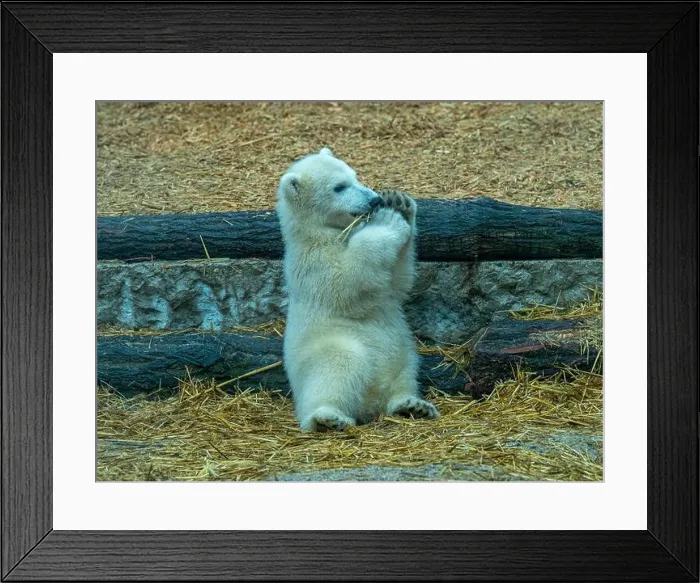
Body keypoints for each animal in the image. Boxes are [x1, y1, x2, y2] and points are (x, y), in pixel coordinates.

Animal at [276, 147, 439, 432]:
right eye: (339, 187)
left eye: (354, 176)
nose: (374, 200)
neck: (318, 231)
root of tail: (370, 403)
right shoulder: (313, 262)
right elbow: (348, 281)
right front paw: (389, 219)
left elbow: (397, 281)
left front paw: (400, 203)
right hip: (328, 349)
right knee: (338, 367)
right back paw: (327, 417)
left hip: (403, 352)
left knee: (406, 373)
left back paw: (412, 405)